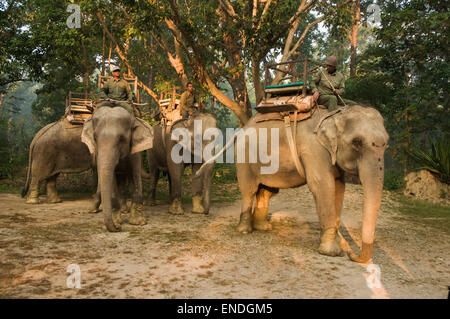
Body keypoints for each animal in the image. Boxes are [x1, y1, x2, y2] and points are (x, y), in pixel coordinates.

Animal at [199, 106, 388, 264]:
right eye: (357, 142)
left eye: (386, 143)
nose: (352, 255)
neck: (334, 115)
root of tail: (241, 130)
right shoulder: (313, 150)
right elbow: (322, 185)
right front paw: (332, 252)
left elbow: (339, 187)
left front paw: (337, 244)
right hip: (245, 157)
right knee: (249, 190)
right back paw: (245, 231)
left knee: (266, 191)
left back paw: (264, 228)